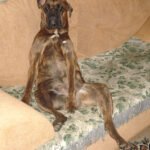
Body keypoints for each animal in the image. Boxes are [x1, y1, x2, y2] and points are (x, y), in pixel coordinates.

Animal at [21, 0, 128, 148]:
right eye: (46, 8)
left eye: (61, 8)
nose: (53, 15)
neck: (55, 35)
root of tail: (79, 99)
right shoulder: (35, 56)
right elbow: (29, 82)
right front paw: (25, 100)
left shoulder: (69, 58)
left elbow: (71, 82)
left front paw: (71, 101)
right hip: (39, 94)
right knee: (61, 115)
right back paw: (58, 122)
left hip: (102, 89)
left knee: (107, 122)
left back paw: (120, 139)